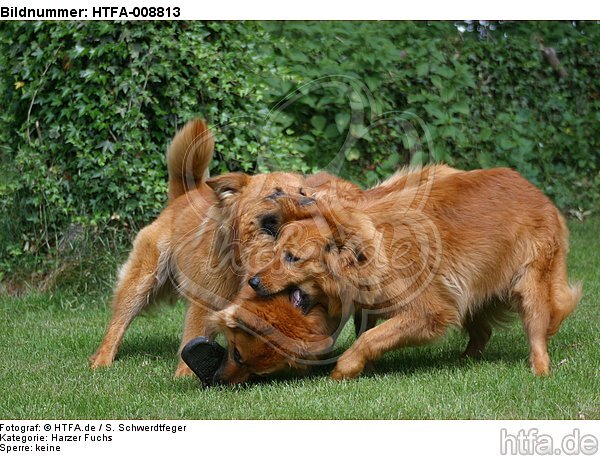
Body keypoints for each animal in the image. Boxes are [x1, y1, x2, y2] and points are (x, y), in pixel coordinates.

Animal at [89, 118, 360, 378]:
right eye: (275, 193)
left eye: (303, 191)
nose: (312, 201)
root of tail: (181, 196)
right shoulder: (204, 299)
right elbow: (194, 335)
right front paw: (185, 374)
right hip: (142, 283)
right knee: (117, 325)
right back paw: (101, 361)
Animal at [212, 166, 580, 382]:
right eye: (276, 252)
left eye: (292, 258)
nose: (253, 281)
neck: (366, 254)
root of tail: (538, 193)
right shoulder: (375, 303)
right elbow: (368, 332)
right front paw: (366, 368)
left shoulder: (430, 312)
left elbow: (369, 338)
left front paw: (343, 370)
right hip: (469, 293)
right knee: (482, 332)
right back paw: (464, 361)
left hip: (530, 288)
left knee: (536, 333)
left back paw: (539, 370)